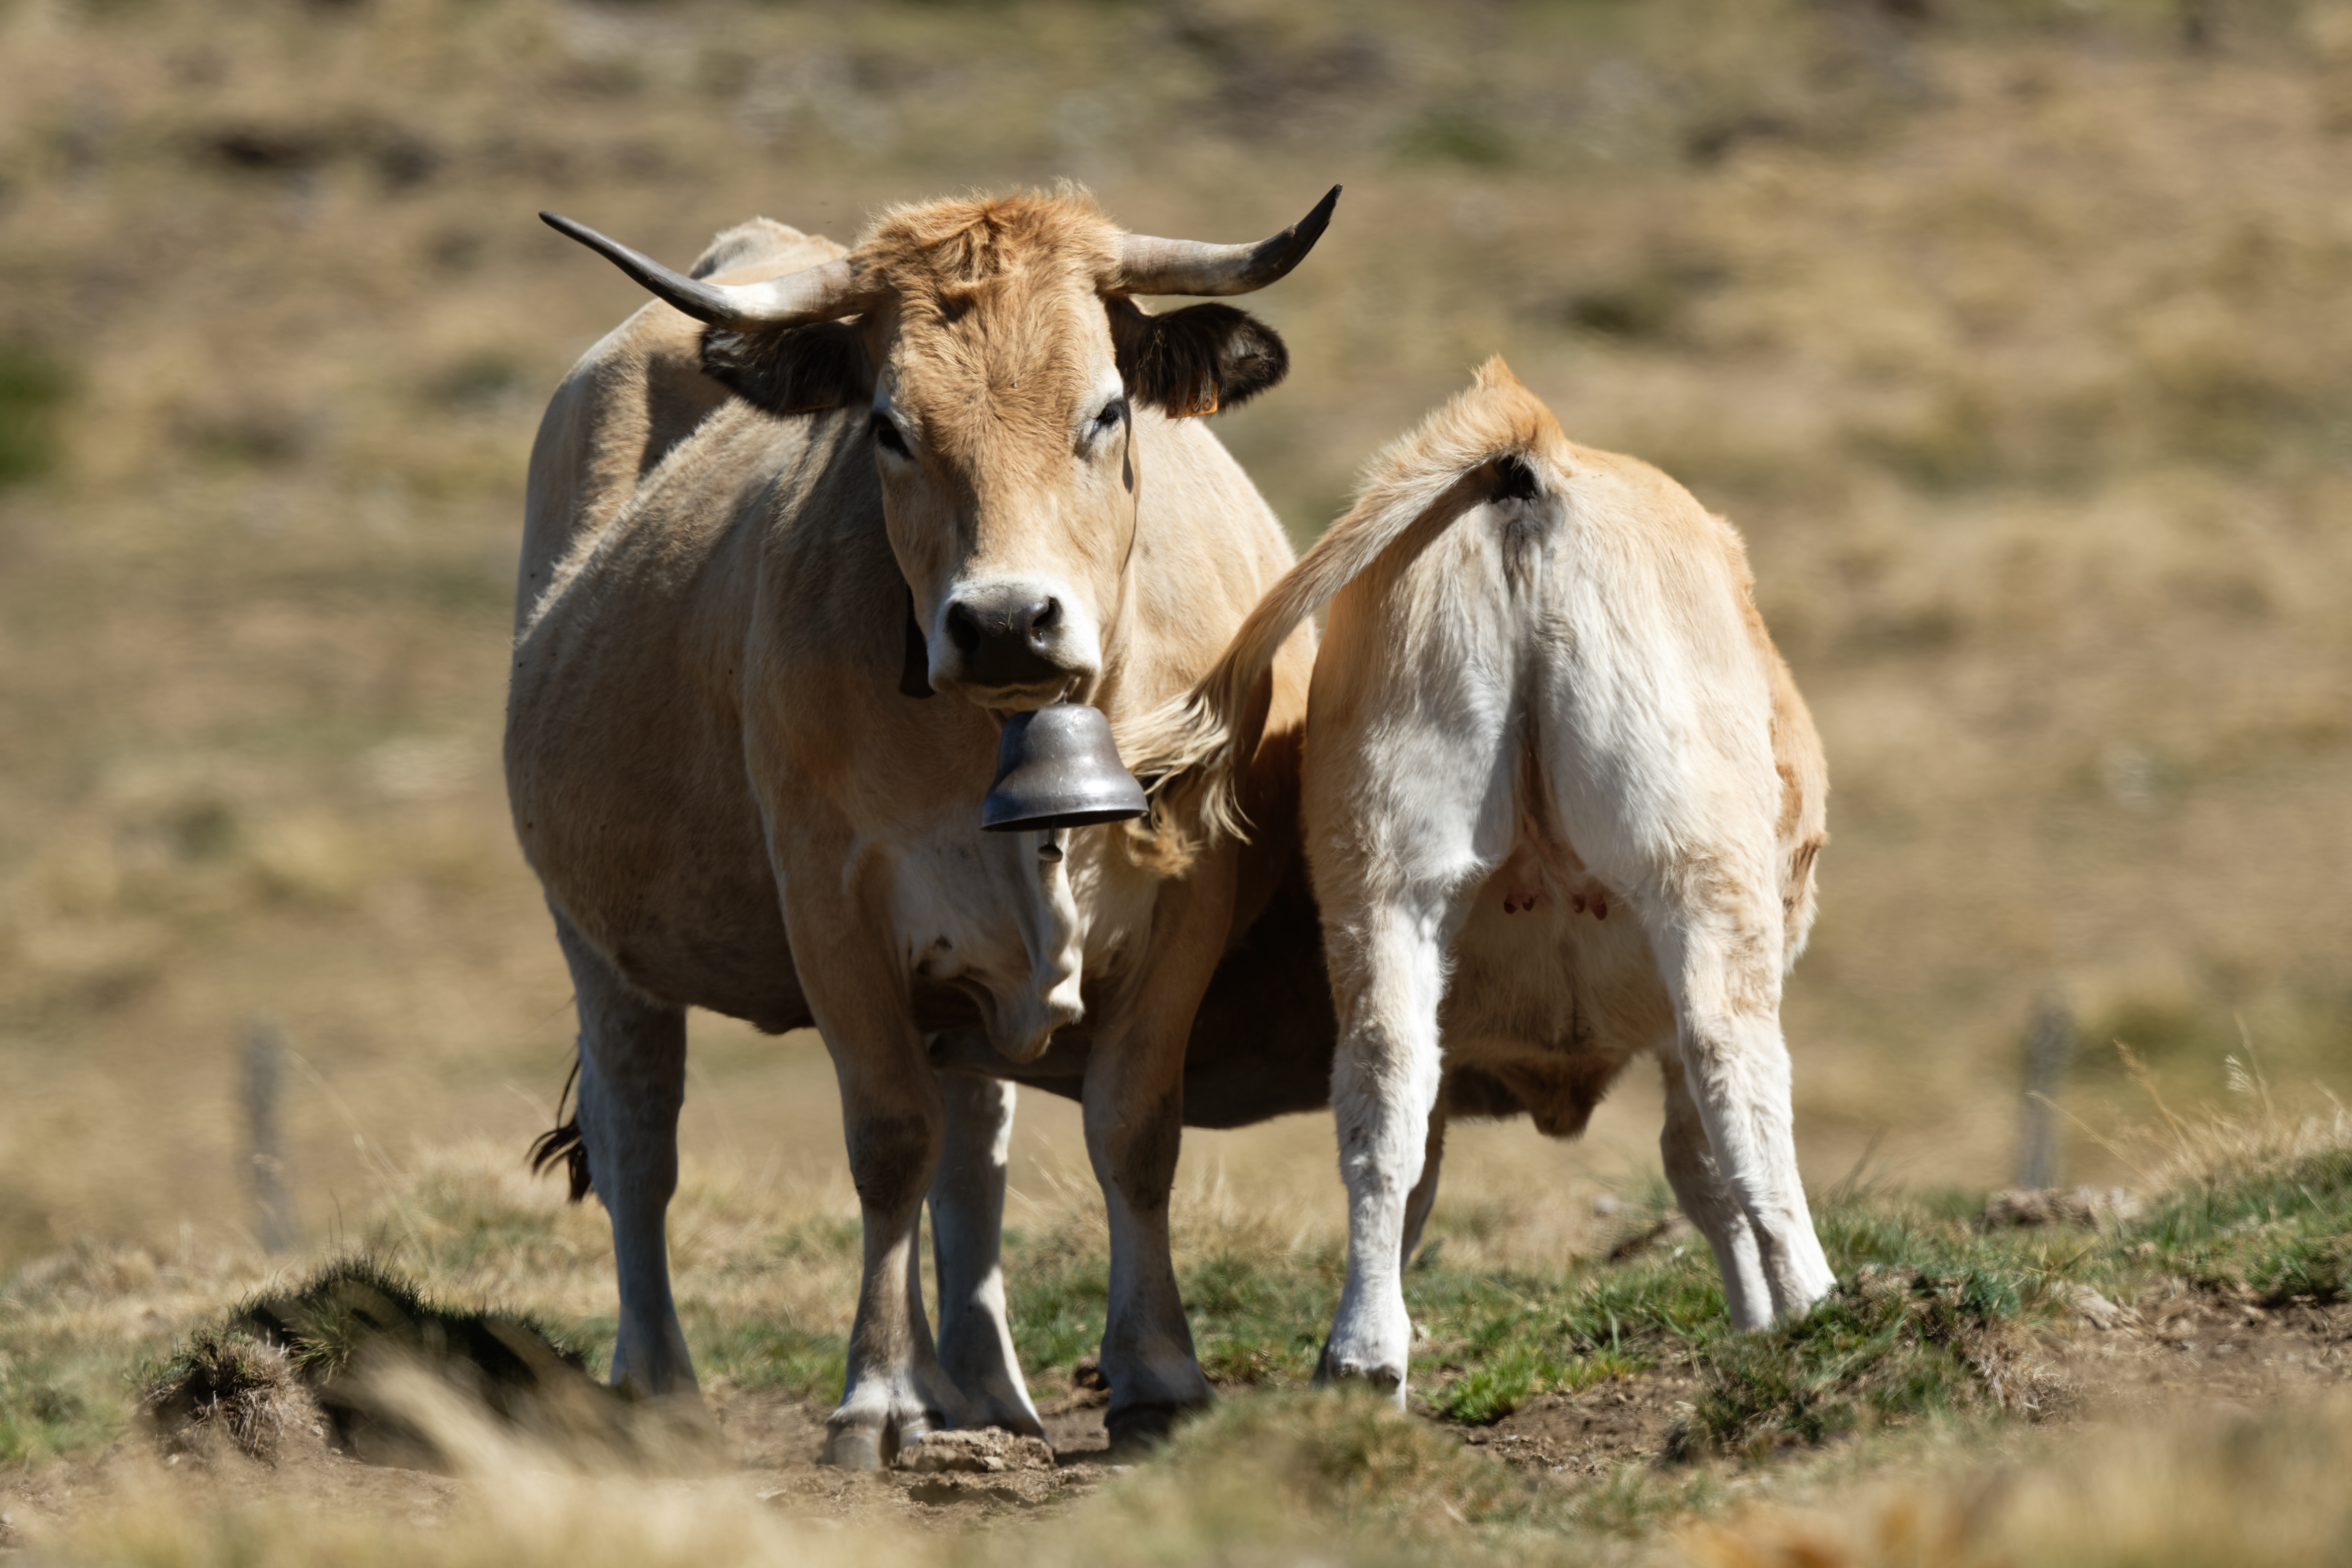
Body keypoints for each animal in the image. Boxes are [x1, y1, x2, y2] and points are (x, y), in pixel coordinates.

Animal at [507, 188, 1339, 1465]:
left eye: (1106, 410)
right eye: (891, 428)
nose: (1002, 621)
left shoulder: (1186, 906)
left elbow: (1131, 1132)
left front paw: (1157, 1376)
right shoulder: (832, 906)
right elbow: (889, 1141)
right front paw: (881, 1394)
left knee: (975, 1146)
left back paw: (986, 1388)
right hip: (594, 934)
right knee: (639, 1135)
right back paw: (663, 1388)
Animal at [1128, 358, 1836, 1401]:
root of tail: (1535, 449)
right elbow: (1698, 1160)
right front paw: (1760, 1322)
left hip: (1383, 872)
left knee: (1385, 1090)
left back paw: (1362, 1356)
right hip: (1700, 873)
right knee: (1735, 1071)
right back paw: (1820, 1302)